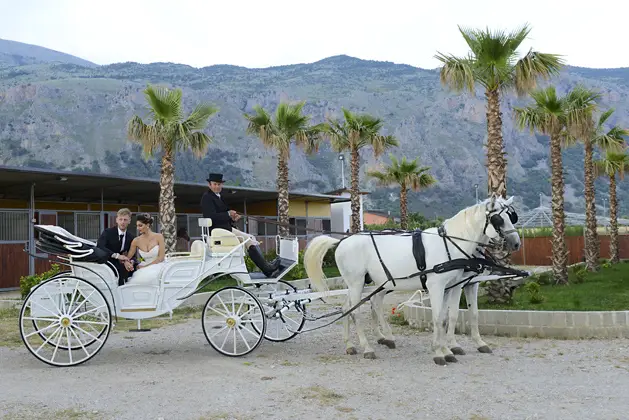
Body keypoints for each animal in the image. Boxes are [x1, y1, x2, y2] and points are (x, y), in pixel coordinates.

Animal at [304, 195, 520, 362]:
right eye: (498, 219)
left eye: (512, 217)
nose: (516, 243)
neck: (451, 243)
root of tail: (342, 240)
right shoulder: (438, 286)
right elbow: (439, 317)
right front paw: (440, 352)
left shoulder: (455, 285)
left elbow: (453, 316)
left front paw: (450, 348)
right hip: (357, 283)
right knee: (355, 311)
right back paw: (367, 348)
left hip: (368, 283)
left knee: (351, 307)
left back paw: (354, 344)